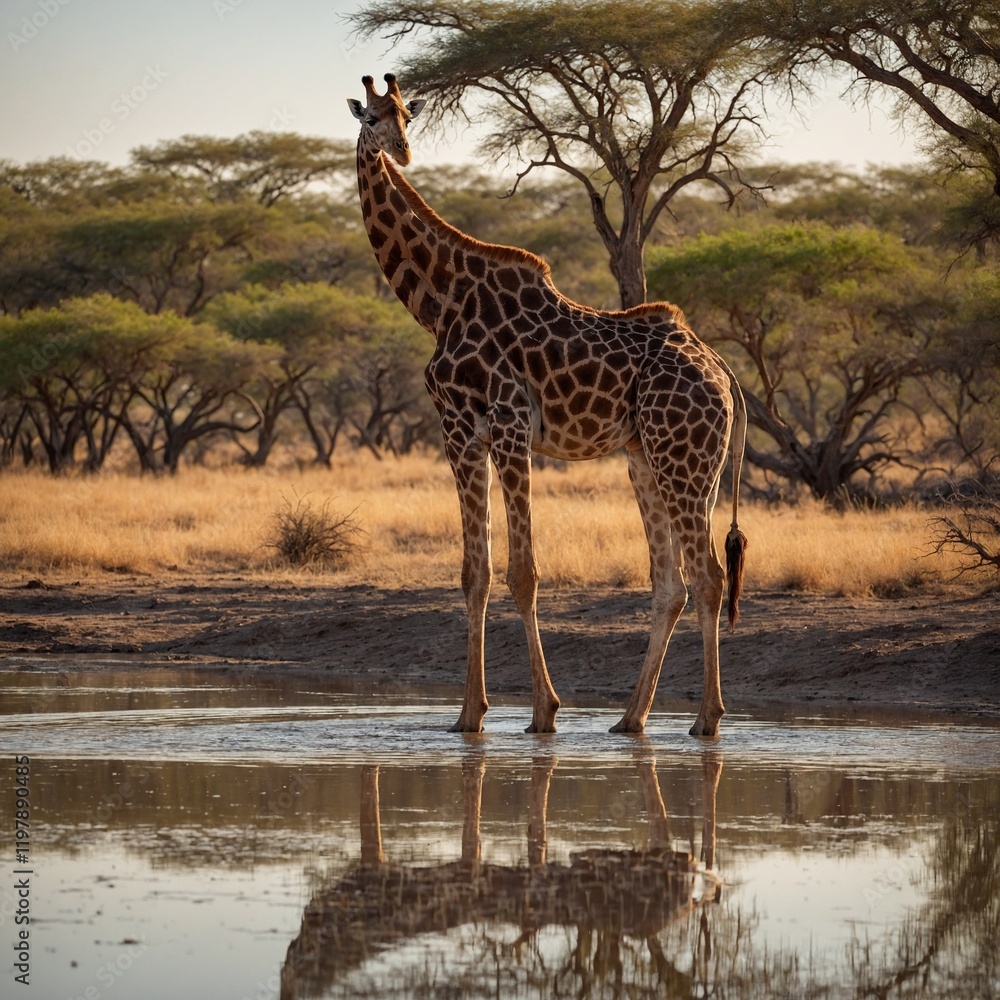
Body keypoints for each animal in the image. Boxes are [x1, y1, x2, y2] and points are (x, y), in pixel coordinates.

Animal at [348, 73, 748, 738]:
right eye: (374, 117)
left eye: (405, 114)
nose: (401, 150)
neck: (438, 302)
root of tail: (722, 373)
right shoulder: (460, 431)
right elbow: (474, 574)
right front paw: (468, 716)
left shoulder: (506, 425)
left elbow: (523, 573)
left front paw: (543, 712)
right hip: (652, 457)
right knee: (672, 583)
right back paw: (630, 719)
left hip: (684, 459)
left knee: (709, 576)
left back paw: (707, 721)